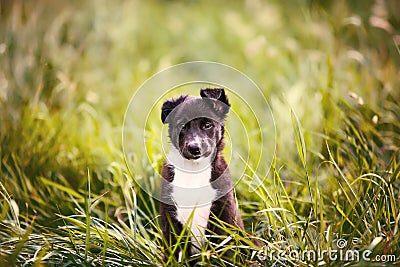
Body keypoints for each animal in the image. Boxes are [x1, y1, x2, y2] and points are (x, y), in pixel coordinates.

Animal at [159, 88, 244, 262]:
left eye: (207, 125)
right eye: (181, 125)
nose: (194, 148)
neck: (194, 171)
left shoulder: (225, 214)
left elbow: (227, 253)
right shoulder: (169, 218)